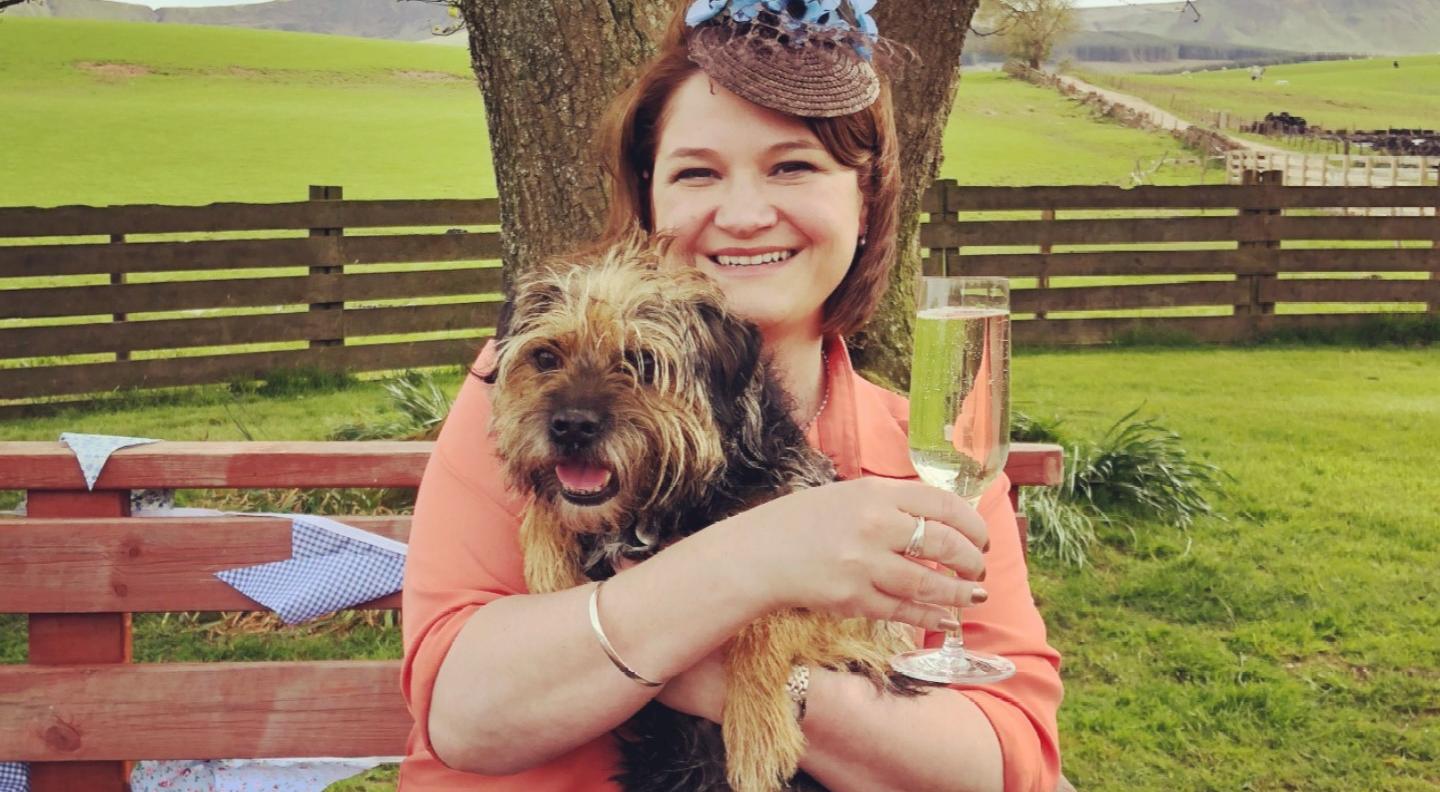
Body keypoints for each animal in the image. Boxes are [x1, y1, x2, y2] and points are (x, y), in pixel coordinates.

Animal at [480, 240, 910, 792]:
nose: (571, 426)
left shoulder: (859, 612)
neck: (673, 503)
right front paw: (547, 565)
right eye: (546, 356)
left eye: (643, 362)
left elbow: (767, 617)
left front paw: (756, 730)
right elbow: (547, 507)